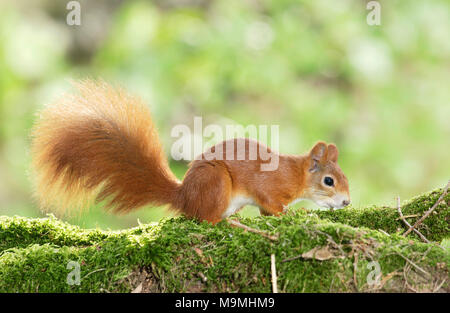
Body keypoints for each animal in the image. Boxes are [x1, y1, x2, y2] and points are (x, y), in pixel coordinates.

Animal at [31, 79, 352, 223]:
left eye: (344, 177)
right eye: (329, 181)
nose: (347, 202)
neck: (296, 175)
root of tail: (184, 195)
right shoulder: (269, 185)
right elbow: (270, 204)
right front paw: (291, 213)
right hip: (216, 183)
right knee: (205, 218)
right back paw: (225, 222)